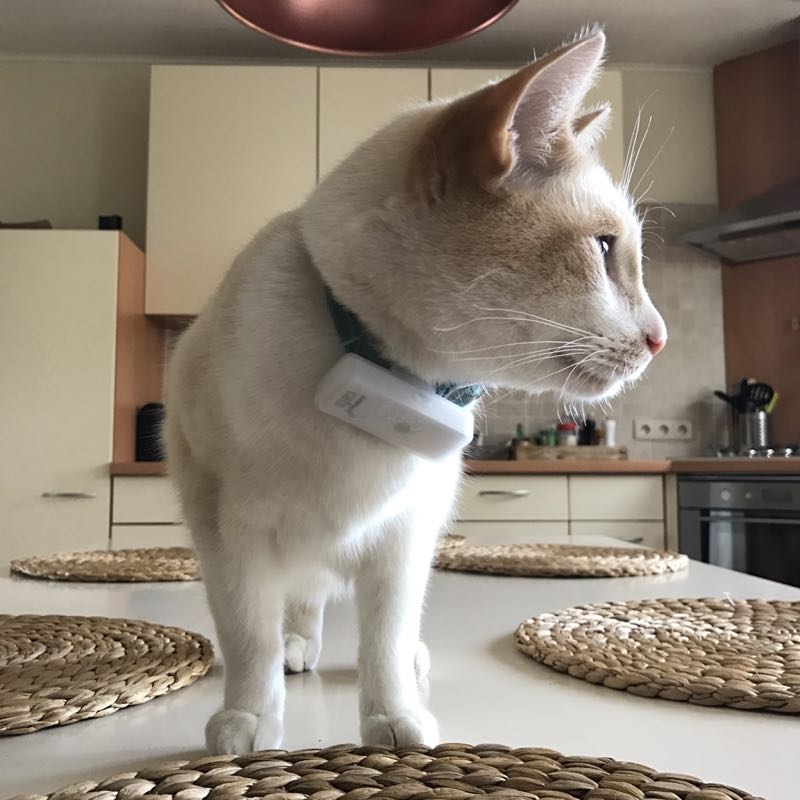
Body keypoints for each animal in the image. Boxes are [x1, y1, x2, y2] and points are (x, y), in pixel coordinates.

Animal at [164, 28, 666, 756]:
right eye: (604, 250)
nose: (660, 339)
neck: (376, 361)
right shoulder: (230, 536)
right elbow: (249, 638)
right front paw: (251, 723)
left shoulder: (404, 534)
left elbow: (385, 638)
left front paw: (394, 723)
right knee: (298, 607)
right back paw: (296, 651)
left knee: (371, 624)